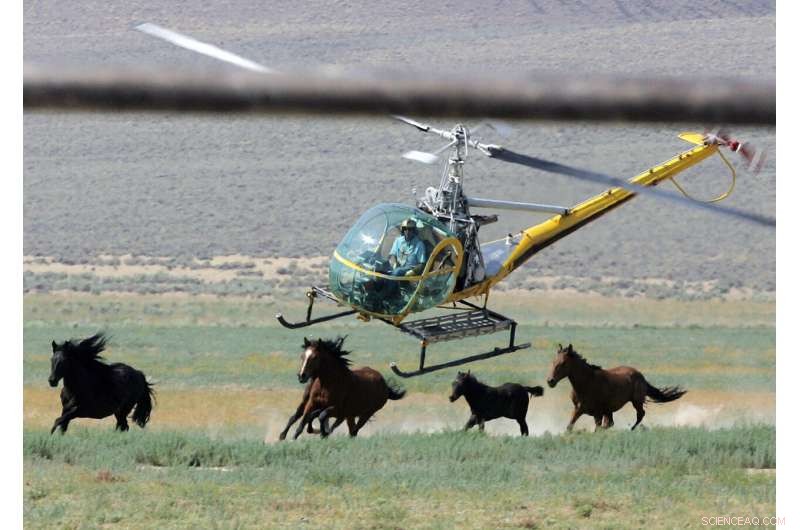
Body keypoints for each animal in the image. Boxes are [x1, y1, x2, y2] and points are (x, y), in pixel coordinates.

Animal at [546, 343, 686, 431]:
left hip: (636, 401)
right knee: (612, 422)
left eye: (563, 363)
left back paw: (631, 429)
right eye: (553, 361)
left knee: (640, 414)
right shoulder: (578, 409)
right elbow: (569, 427)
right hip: (610, 410)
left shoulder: (598, 413)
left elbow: (598, 428)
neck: (586, 383)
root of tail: (640, 376)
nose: (550, 381)